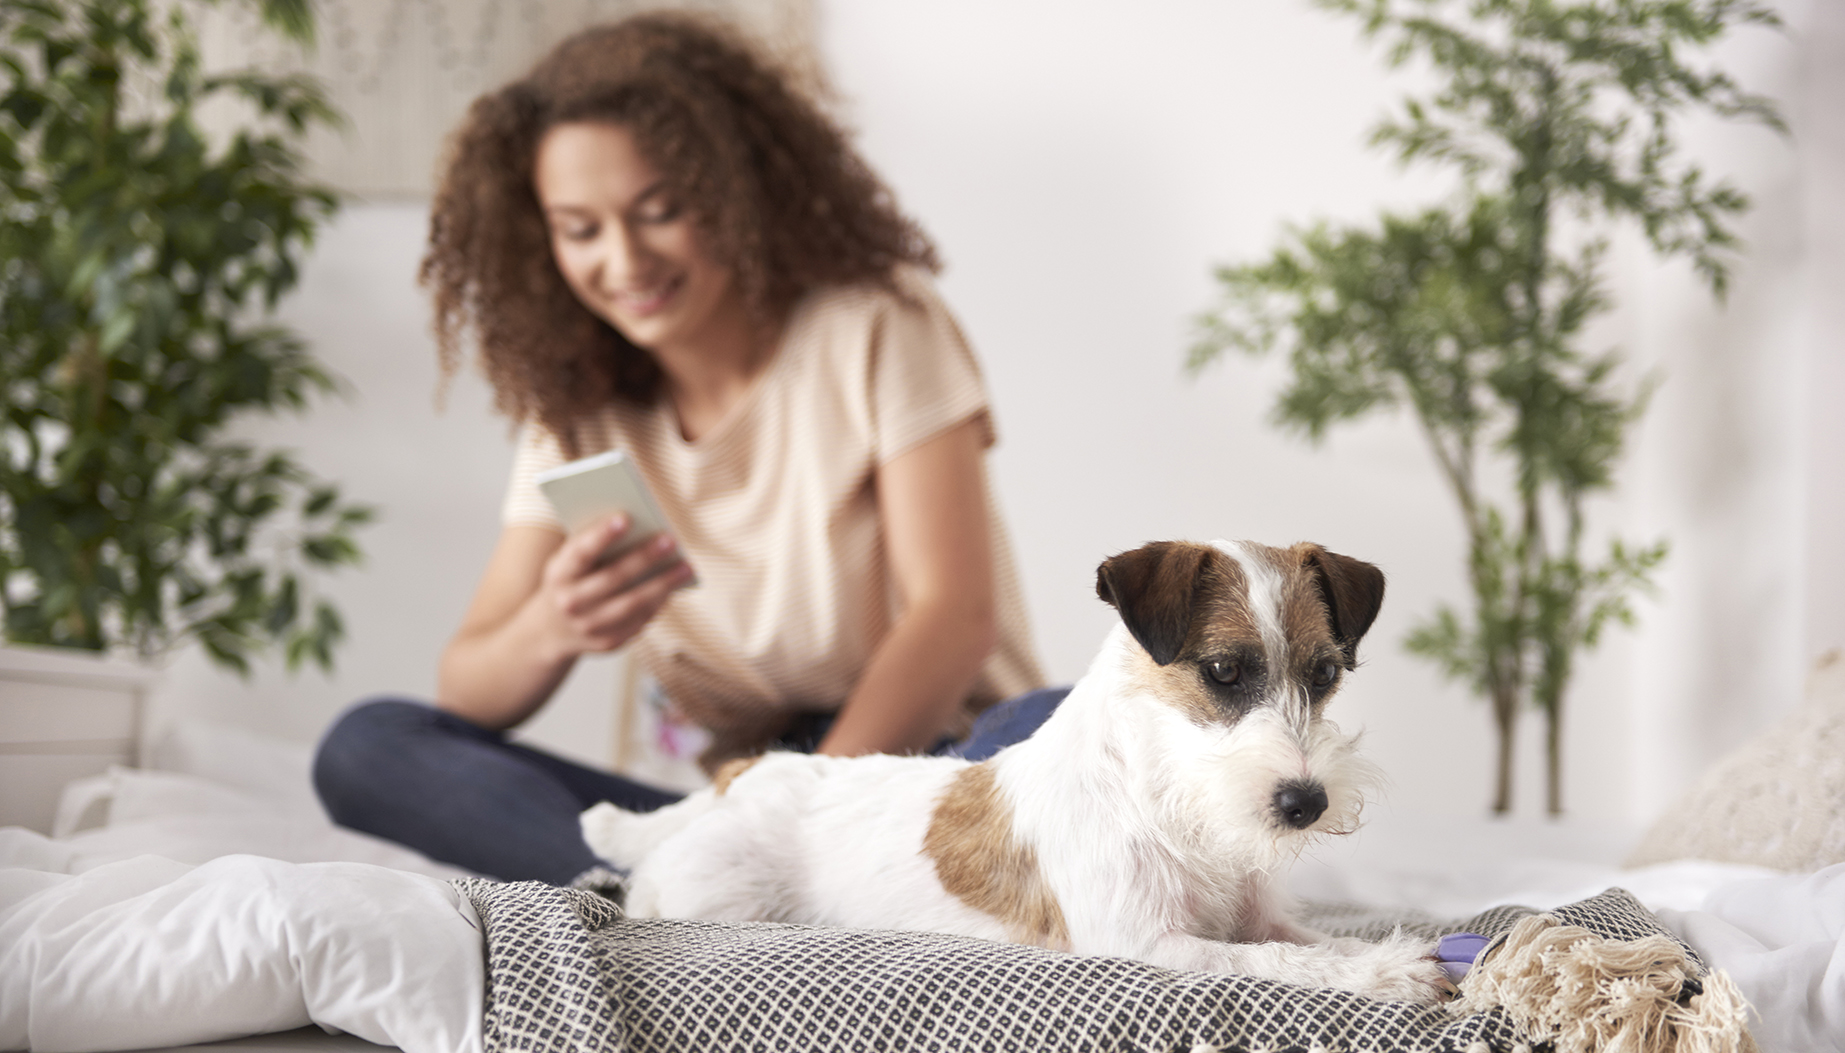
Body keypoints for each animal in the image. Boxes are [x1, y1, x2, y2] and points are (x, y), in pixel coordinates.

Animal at [583, 542, 1446, 1003]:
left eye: (1324, 673)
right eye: (1224, 671)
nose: (1305, 802)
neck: (1166, 795)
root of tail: (741, 775)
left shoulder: (1259, 915)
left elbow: (1307, 938)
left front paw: (1380, 953)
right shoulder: (1142, 942)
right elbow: (1271, 959)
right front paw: (1386, 968)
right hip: (712, 893)